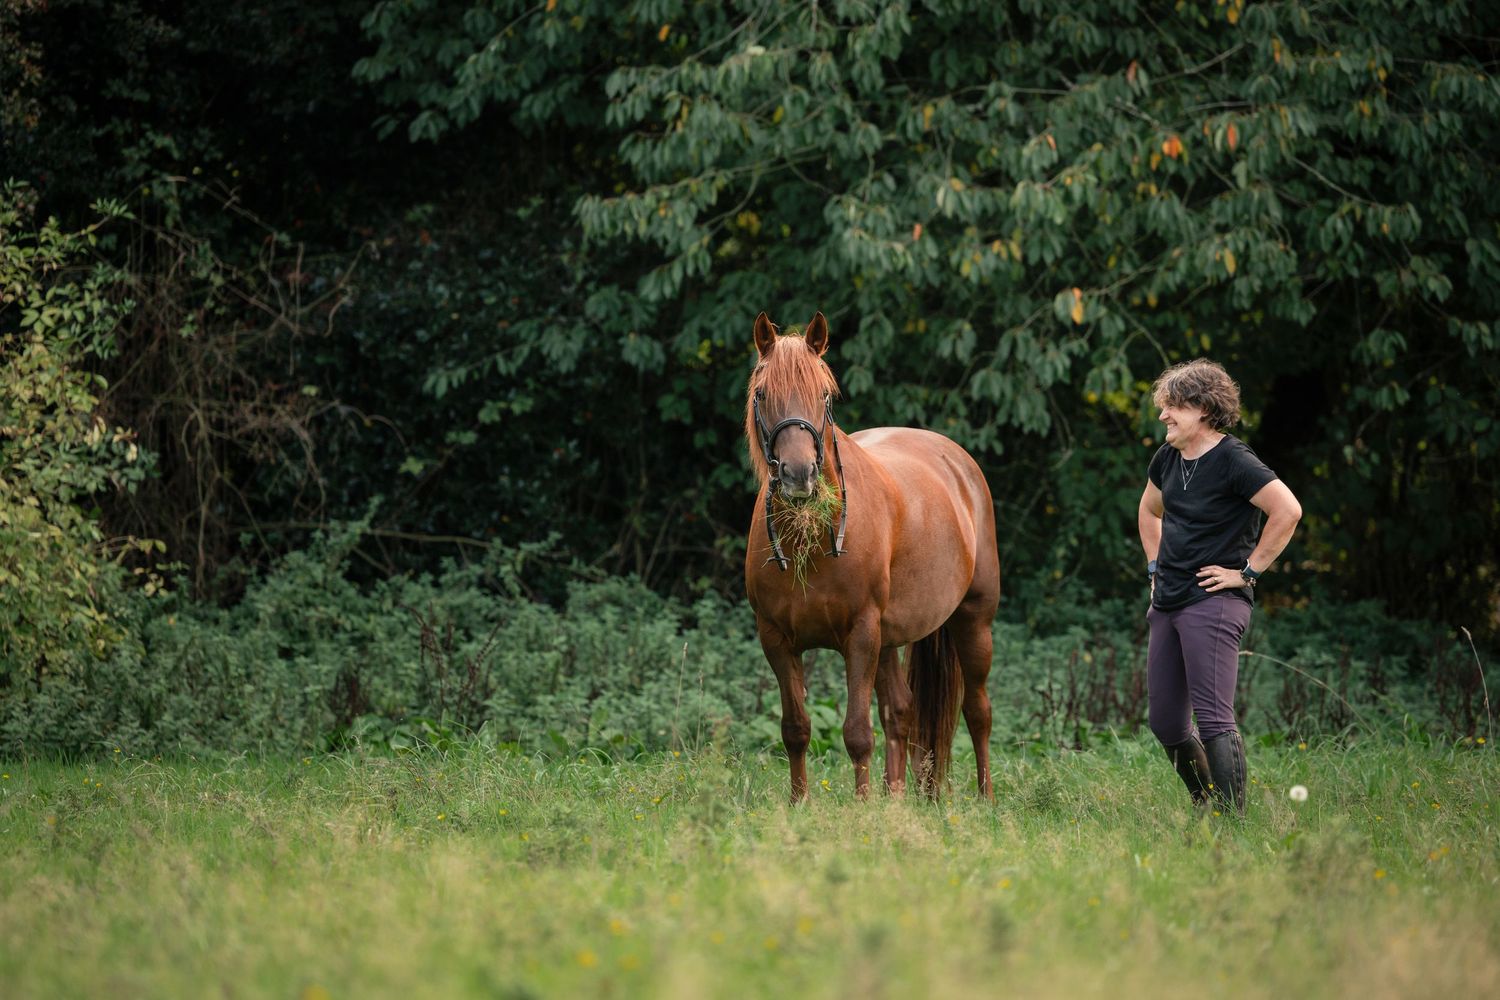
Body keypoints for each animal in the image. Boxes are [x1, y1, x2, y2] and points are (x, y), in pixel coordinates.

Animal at [743, 311, 1001, 801]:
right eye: (762, 393)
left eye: (824, 394)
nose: (800, 475)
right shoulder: (776, 639)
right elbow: (795, 729)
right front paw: (800, 803)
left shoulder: (860, 634)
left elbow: (857, 732)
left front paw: (862, 807)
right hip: (890, 639)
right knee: (900, 712)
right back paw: (896, 797)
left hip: (973, 621)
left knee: (978, 713)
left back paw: (986, 798)